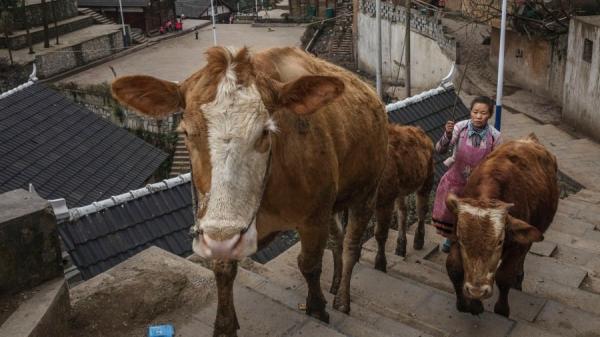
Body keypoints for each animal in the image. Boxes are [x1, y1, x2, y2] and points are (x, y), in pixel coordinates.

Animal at [110, 47, 386, 336]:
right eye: (185, 132)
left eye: (265, 131)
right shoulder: (223, 229)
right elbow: (223, 269)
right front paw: (224, 325)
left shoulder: (313, 218)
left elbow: (309, 264)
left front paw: (318, 309)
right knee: (337, 238)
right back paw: (334, 284)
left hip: (366, 192)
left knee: (351, 245)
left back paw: (342, 298)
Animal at [442, 133, 560, 316]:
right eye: (462, 240)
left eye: (499, 242)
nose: (477, 291)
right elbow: (454, 267)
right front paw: (468, 304)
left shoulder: (518, 244)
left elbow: (504, 276)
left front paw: (502, 309)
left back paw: (518, 279)